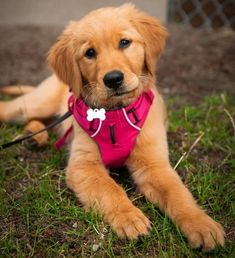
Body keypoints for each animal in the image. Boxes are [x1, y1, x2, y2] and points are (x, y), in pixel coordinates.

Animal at [0, 3, 225, 250]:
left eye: (124, 42)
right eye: (90, 53)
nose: (113, 79)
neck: (116, 115)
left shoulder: (154, 164)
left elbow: (177, 193)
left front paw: (202, 225)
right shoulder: (83, 166)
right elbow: (110, 189)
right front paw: (129, 217)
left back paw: (34, 136)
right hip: (33, 105)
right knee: (11, 109)